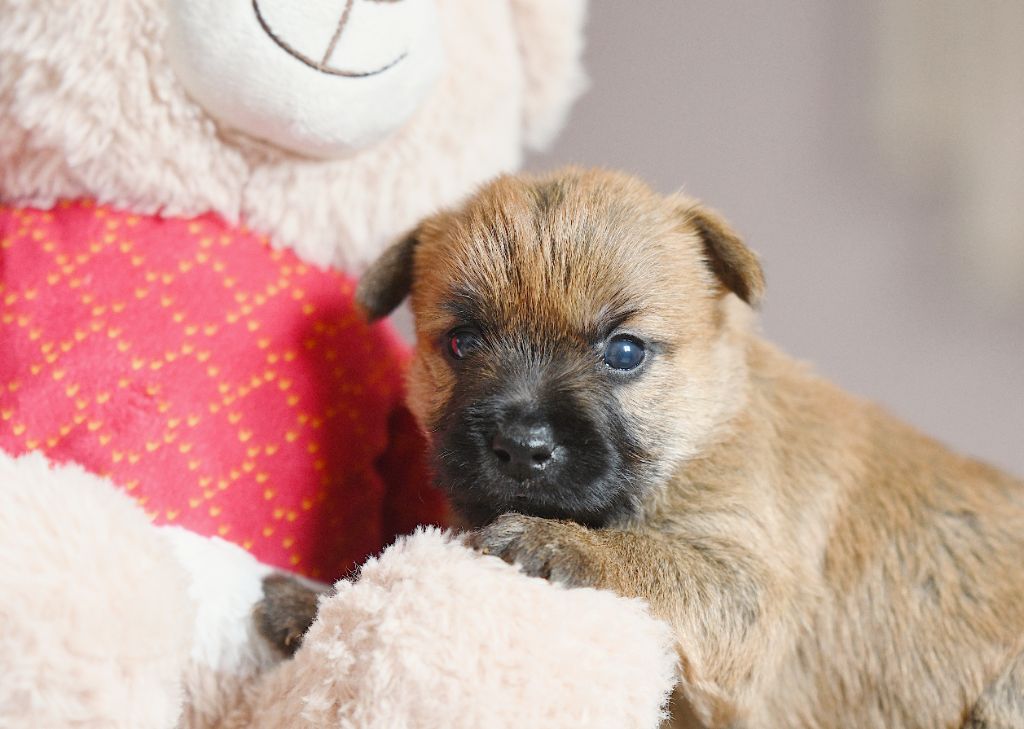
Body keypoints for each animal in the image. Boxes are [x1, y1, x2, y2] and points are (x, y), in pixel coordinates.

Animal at [266, 167, 1024, 724]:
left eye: (625, 351)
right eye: (461, 342)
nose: (520, 446)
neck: (703, 425)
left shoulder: (745, 586)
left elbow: (651, 555)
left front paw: (556, 541)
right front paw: (315, 602)